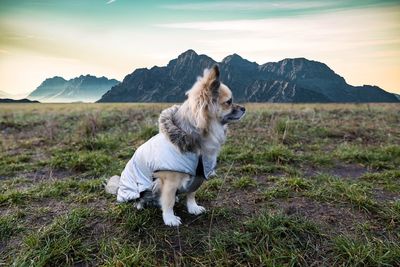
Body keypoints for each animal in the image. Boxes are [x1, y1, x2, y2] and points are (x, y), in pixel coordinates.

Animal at [104, 66, 245, 227]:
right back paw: (139, 204)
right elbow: (168, 201)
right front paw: (170, 218)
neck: (191, 139)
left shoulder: (197, 175)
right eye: (229, 102)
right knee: (139, 197)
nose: (244, 108)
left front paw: (193, 207)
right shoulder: (169, 181)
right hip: (140, 187)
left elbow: (191, 193)